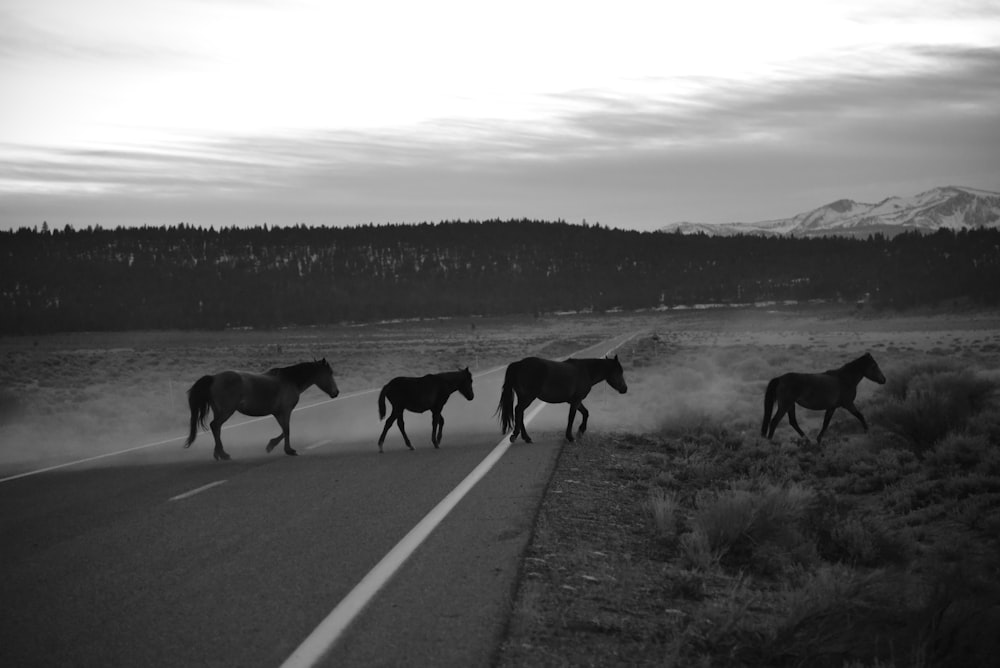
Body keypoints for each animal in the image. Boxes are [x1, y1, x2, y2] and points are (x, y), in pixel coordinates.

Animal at [187, 360, 340, 460]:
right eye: (329, 373)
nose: (336, 392)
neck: (289, 380)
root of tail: (213, 378)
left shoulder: (278, 413)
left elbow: (284, 430)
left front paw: (272, 445)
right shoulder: (285, 411)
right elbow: (287, 430)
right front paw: (288, 450)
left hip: (219, 411)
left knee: (216, 428)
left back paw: (218, 453)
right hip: (226, 411)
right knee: (215, 426)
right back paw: (223, 454)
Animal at [498, 354, 628, 444]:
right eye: (619, 371)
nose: (625, 389)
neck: (586, 371)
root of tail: (519, 364)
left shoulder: (576, 401)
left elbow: (586, 413)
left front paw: (580, 431)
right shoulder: (576, 401)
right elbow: (571, 418)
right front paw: (570, 437)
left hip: (524, 397)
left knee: (520, 413)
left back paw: (526, 438)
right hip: (527, 398)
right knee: (518, 411)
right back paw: (516, 435)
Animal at [760, 352, 888, 446]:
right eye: (874, 366)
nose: (884, 380)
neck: (844, 379)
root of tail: (780, 379)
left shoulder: (832, 407)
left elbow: (826, 423)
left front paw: (819, 439)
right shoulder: (848, 404)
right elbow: (860, 416)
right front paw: (867, 432)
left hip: (791, 405)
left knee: (793, 422)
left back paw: (807, 440)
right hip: (785, 405)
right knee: (774, 421)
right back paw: (770, 442)